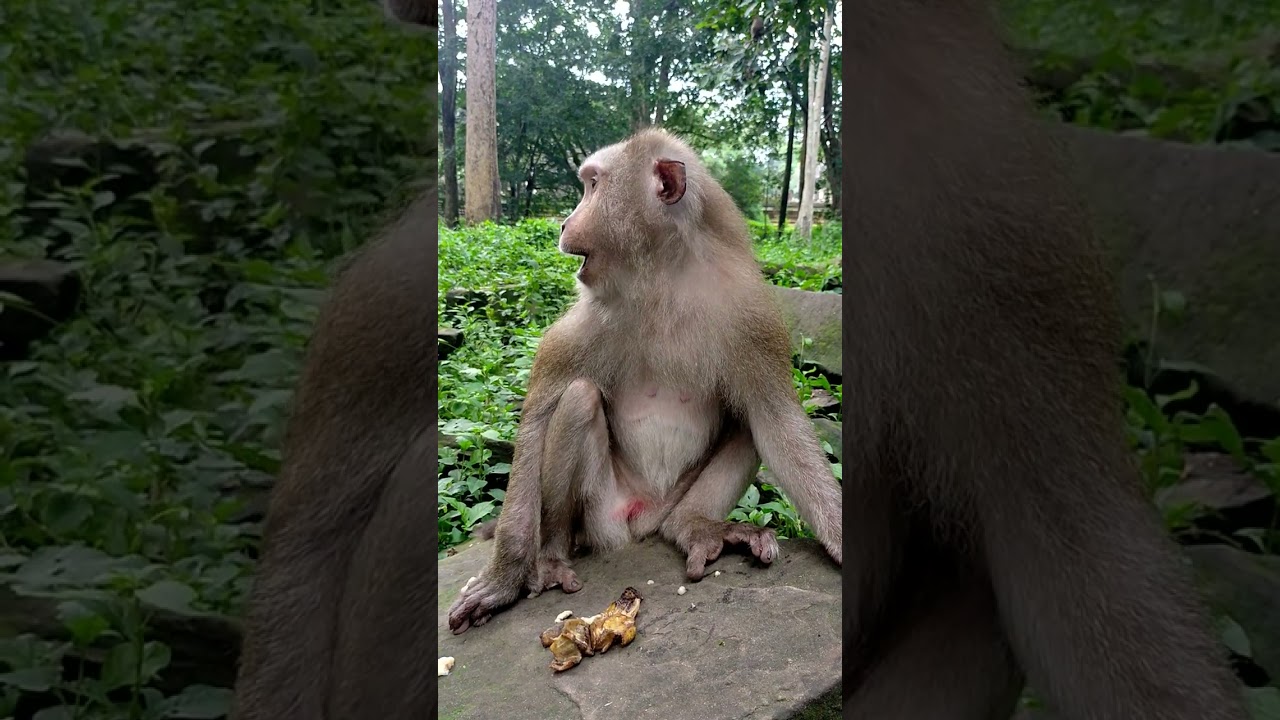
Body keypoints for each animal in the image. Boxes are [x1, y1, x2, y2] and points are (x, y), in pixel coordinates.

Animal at [446, 128, 843, 634]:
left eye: (593, 185)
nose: (563, 223)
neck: (662, 279)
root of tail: (642, 519)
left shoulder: (751, 314)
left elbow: (776, 422)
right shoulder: (589, 317)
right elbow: (538, 415)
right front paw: (504, 579)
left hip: (669, 501)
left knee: (746, 422)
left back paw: (693, 526)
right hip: (604, 513)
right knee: (578, 399)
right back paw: (553, 552)